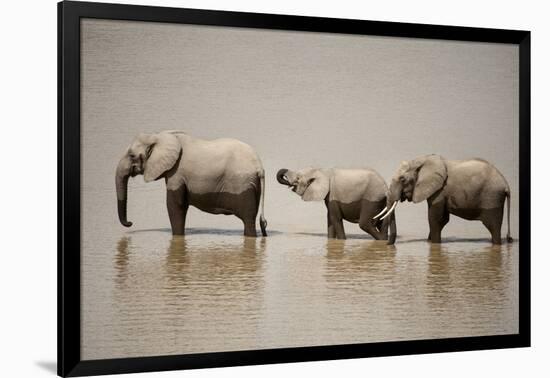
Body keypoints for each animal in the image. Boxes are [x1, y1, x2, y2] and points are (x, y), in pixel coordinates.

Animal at [117, 130, 270, 236]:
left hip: (243, 182)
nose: (130, 223)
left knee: (248, 219)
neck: (160, 136)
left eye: (132, 155)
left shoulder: (177, 173)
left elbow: (175, 206)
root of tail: (259, 167)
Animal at [378, 154, 516, 245]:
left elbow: (435, 219)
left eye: (402, 179)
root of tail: (506, 184)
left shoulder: (440, 191)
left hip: (492, 197)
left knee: (493, 227)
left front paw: (434, 243)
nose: (387, 245)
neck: (422, 160)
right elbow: (442, 219)